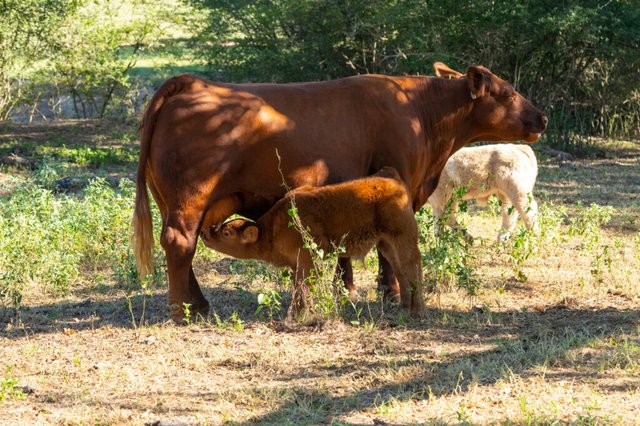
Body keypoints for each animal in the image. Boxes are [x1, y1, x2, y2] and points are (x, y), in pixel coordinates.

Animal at [202, 168, 428, 318]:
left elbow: (304, 287)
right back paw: (405, 306)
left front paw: (300, 314)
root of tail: (392, 178)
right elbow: (297, 287)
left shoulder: (308, 259)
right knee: (400, 269)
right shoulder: (296, 264)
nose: (205, 235)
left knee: (413, 266)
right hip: (386, 243)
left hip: (403, 238)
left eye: (227, 232)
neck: (273, 227)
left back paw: (418, 311)